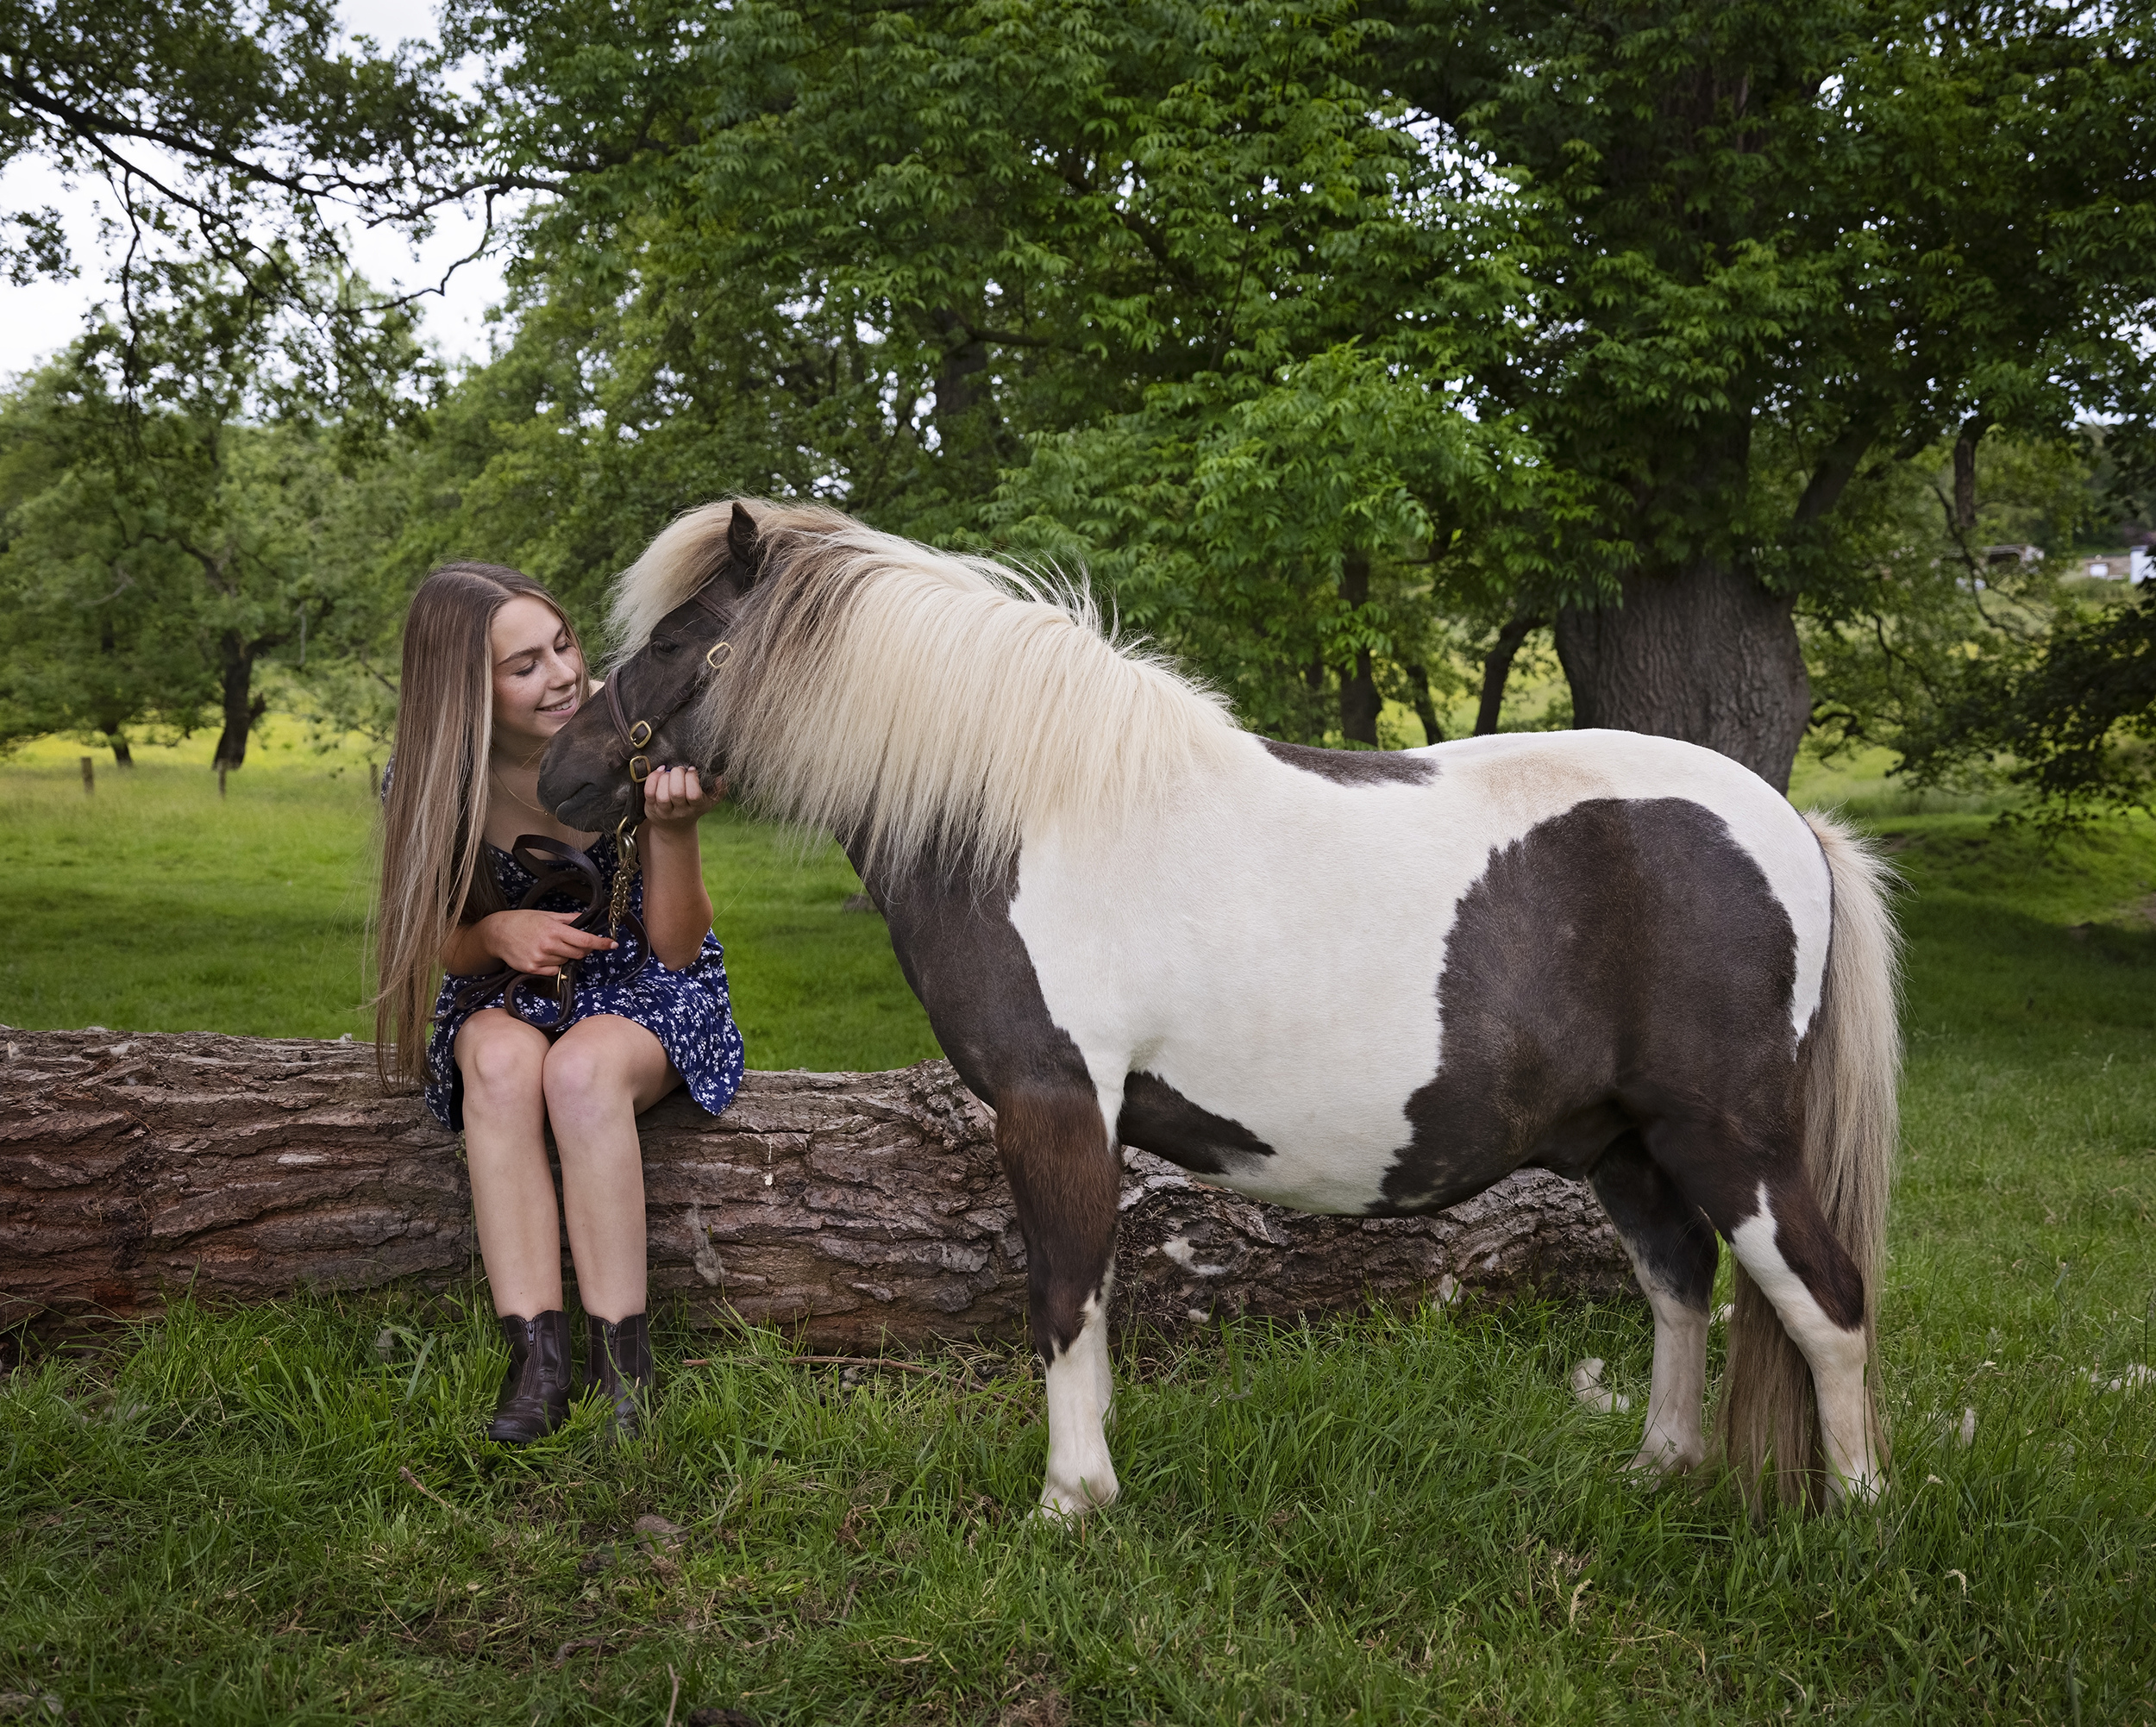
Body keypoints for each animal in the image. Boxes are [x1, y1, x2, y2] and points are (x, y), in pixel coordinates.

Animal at [538, 498, 1901, 1517]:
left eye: (677, 639)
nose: (561, 775)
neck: (1032, 811)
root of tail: (1790, 825)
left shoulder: (1054, 1103)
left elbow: (1063, 1293)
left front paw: (1070, 1502)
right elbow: (1088, 1298)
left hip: (1726, 1137)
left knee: (1828, 1301)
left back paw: (1858, 1511)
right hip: (1624, 1144)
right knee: (1679, 1281)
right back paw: (1660, 1467)